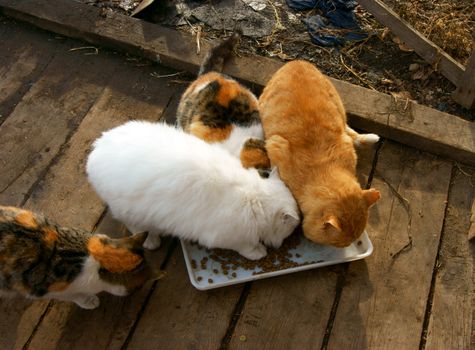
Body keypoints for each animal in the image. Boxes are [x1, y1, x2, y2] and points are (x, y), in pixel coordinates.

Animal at [87, 120, 300, 260]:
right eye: (289, 230)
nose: (280, 245)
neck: (255, 197)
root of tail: (96, 150)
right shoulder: (228, 238)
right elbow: (246, 247)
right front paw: (259, 252)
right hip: (131, 214)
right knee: (138, 229)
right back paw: (152, 241)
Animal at [258, 59, 382, 246]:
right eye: (338, 244)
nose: (348, 246)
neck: (323, 167)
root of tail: (297, 61)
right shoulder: (275, 147)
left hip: (340, 108)